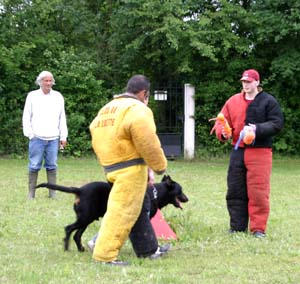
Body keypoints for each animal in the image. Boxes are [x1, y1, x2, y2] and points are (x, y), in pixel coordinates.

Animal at [36, 174, 188, 252]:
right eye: (180, 191)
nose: (187, 199)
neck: (155, 194)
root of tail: (79, 190)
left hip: (86, 218)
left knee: (76, 235)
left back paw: (81, 249)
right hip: (85, 218)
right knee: (68, 229)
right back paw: (66, 247)